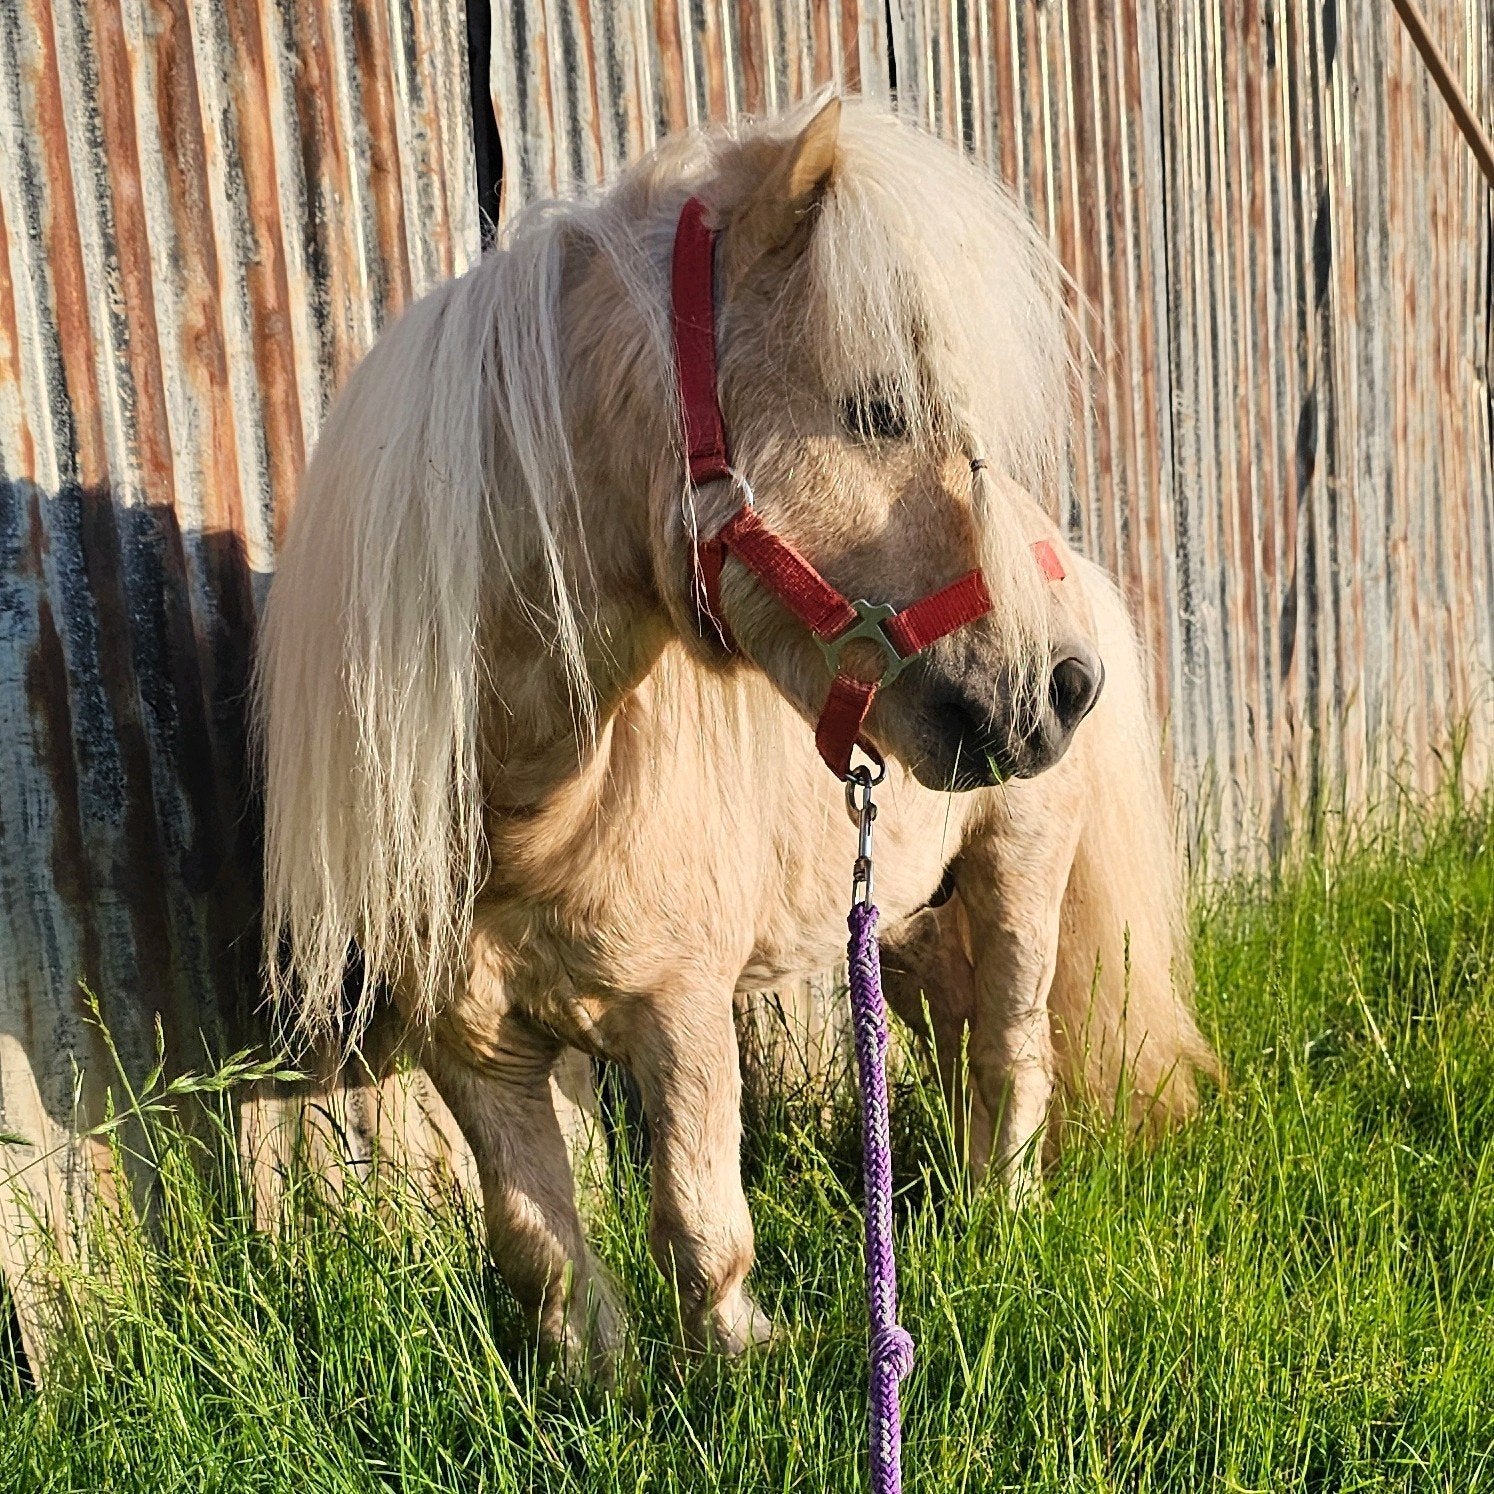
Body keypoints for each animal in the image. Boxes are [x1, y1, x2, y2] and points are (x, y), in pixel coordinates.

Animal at [255, 93, 1215, 1379]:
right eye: (878, 409)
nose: (1061, 683)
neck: (530, 802)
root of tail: (1084, 578)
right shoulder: (479, 1052)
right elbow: (542, 1252)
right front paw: (603, 1392)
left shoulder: (683, 1014)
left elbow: (702, 1229)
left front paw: (746, 1369)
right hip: (907, 913)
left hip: (1020, 866)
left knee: (1015, 1052)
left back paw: (998, 1227)